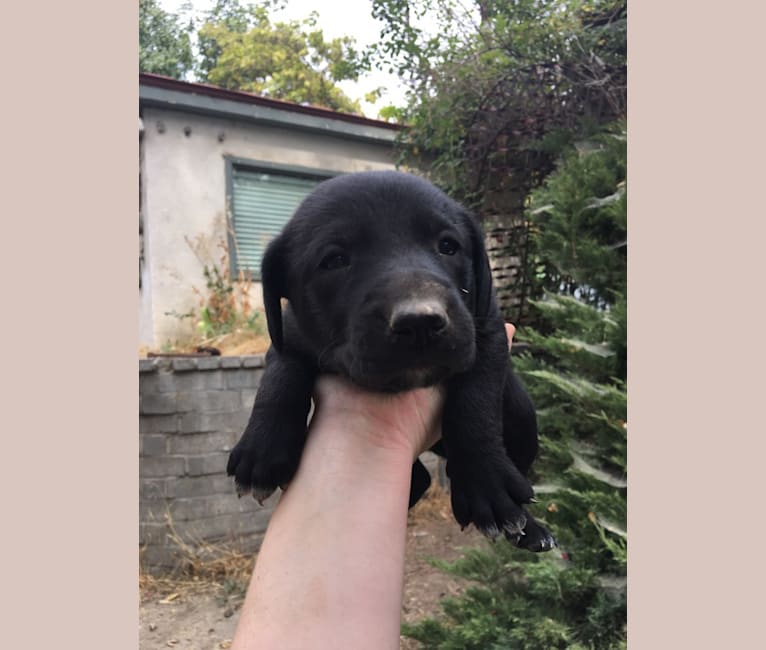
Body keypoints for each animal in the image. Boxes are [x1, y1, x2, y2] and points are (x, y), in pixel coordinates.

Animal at [228, 170, 560, 548]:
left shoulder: (486, 330)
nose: (420, 322)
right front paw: (262, 447)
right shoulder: (287, 333)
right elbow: (279, 376)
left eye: (448, 246)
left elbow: (476, 401)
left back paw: (530, 530)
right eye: (334, 260)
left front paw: (485, 481)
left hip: (522, 416)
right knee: (421, 478)